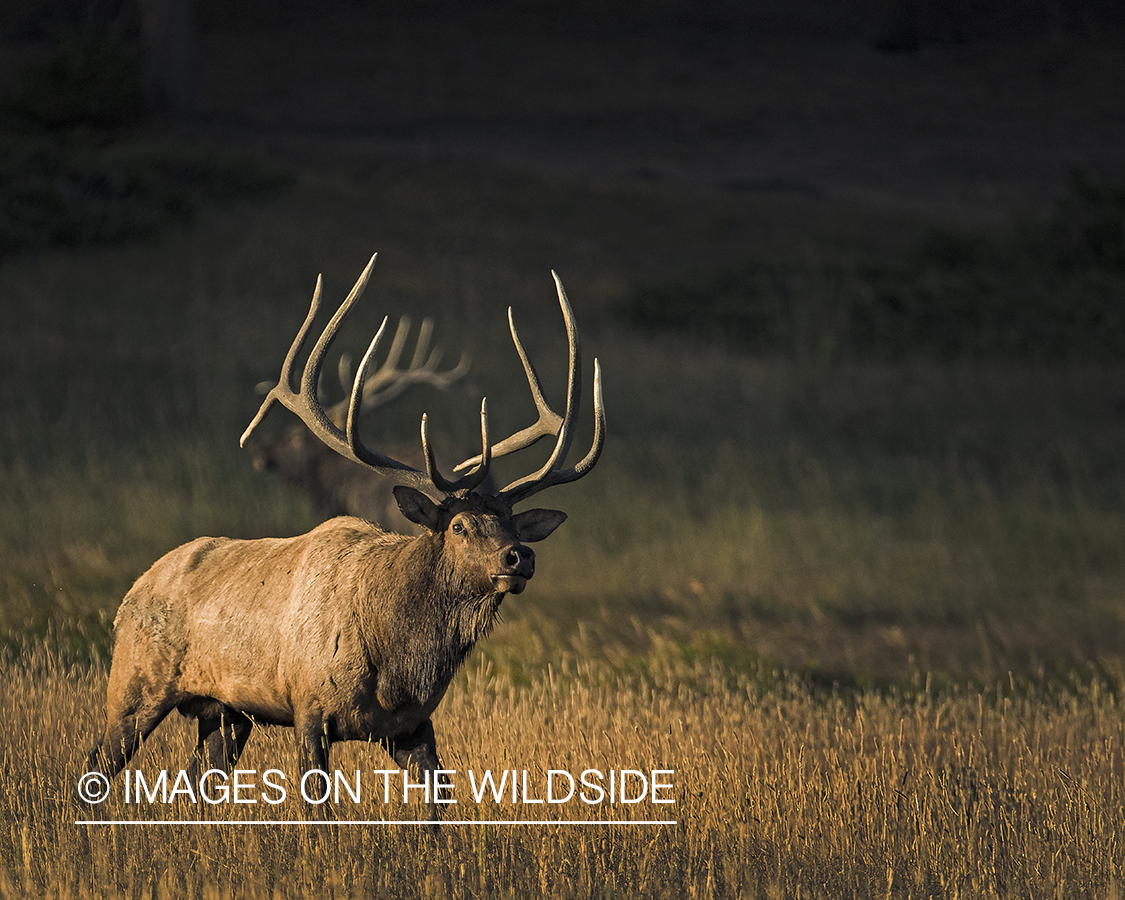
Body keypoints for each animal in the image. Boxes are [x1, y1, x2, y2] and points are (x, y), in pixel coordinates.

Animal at [85, 255, 607, 823]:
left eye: (513, 525)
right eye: (459, 526)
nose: (519, 556)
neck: (397, 659)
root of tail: (132, 591)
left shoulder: (411, 724)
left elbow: (439, 801)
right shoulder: (309, 706)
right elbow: (319, 806)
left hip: (225, 711)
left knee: (198, 778)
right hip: (134, 683)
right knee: (97, 762)